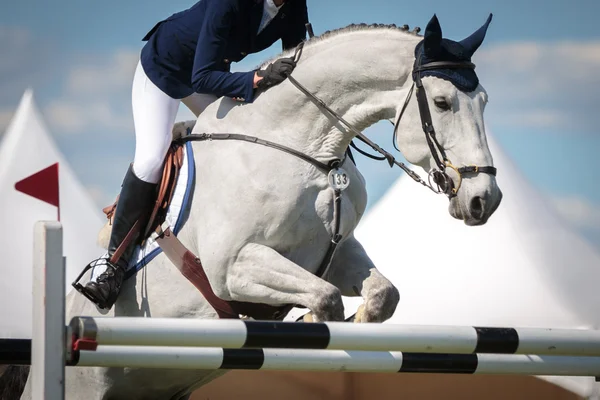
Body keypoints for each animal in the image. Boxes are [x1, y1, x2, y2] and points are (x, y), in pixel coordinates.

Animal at [12, 13, 502, 400]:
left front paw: (357, 320)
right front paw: (316, 323)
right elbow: (324, 301)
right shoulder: (232, 266)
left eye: (484, 101)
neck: (308, 145)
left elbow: (383, 294)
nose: (485, 200)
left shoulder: (335, 252)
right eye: (442, 102)